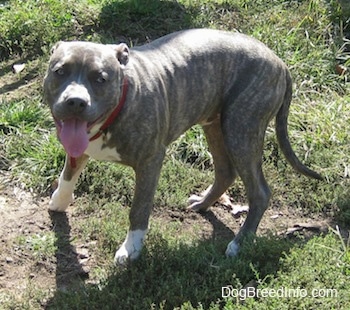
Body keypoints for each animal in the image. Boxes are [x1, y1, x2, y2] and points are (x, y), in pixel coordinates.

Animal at [42, 28, 322, 264]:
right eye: (60, 71)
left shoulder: (150, 162)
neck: (121, 100)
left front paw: (131, 249)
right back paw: (203, 203)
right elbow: (67, 176)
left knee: (259, 192)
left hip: (241, 129)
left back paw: (239, 243)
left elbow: (138, 210)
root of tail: (280, 62)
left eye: (100, 78)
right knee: (225, 172)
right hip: (216, 125)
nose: (76, 101)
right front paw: (59, 202)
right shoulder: (78, 148)